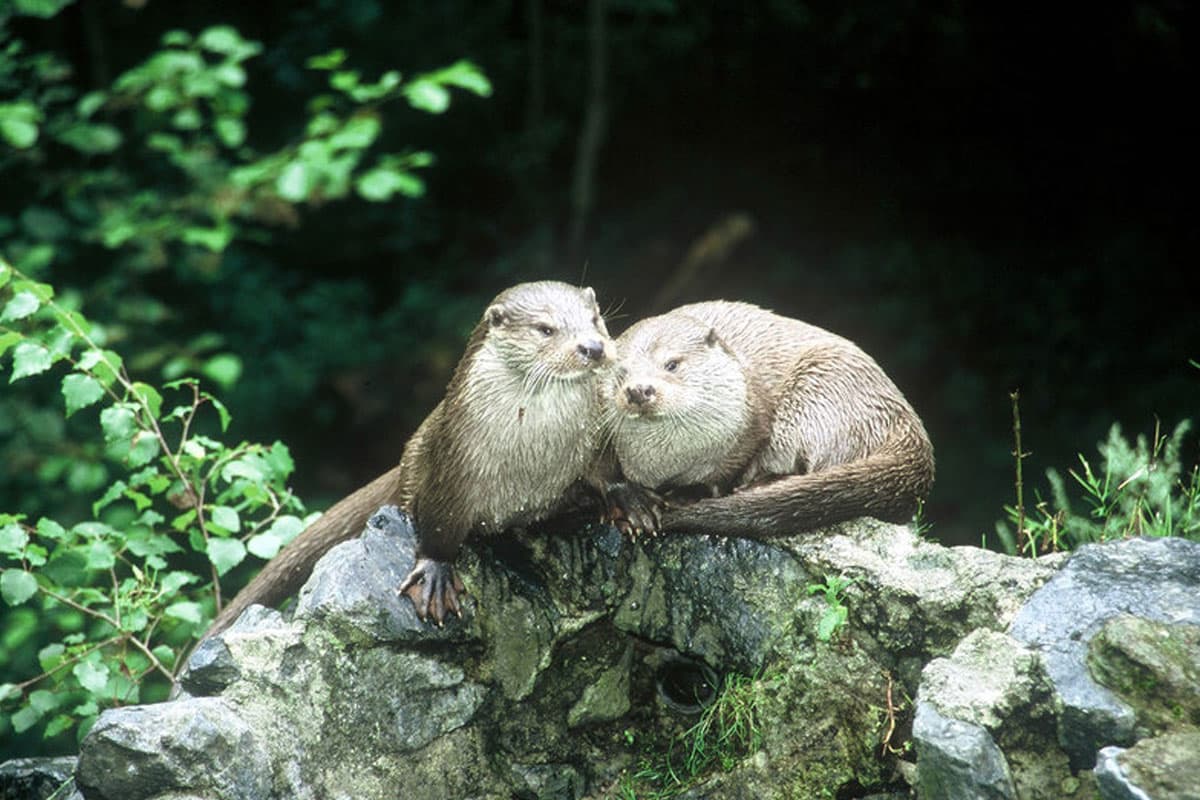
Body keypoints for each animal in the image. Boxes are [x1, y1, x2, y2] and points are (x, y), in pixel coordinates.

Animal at [206, 281, 613, 636]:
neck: (530, 460)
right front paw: (435, 574)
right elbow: (438, 525)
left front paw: (618, 501)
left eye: (595, 319)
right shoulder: (452, 465)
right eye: (546, 329)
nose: (592, 347)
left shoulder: (592, 445)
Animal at [605, 301, 933, 538]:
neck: (669, 463)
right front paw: (635, 504)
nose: (639, 390)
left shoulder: (748, 431)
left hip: (819, 388)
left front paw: (688, 494)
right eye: (621, 372)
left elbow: (722, 472)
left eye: (671, 364)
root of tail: (905, 418)